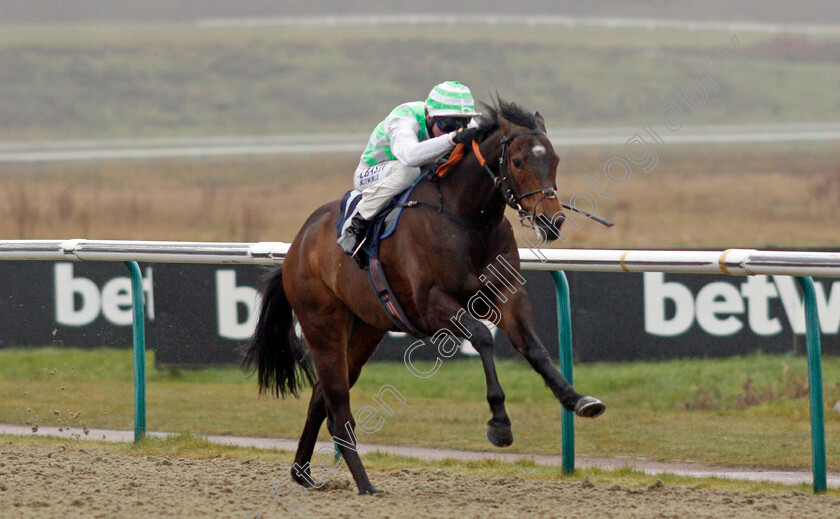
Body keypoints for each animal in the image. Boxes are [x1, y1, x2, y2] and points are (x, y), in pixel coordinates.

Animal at [243, 98, 604, 496]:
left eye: (554, 160)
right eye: (519, 161)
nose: (551, 221)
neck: (467, 219)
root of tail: (297, 245)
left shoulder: (506, 293)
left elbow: (533, 347)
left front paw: (577, 398)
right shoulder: (432, 304)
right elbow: (482, 337)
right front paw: (499, 422)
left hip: (365, 329)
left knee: (320, 400)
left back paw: (303, 472)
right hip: (323, 325)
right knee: (338, 411)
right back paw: (366, 485)